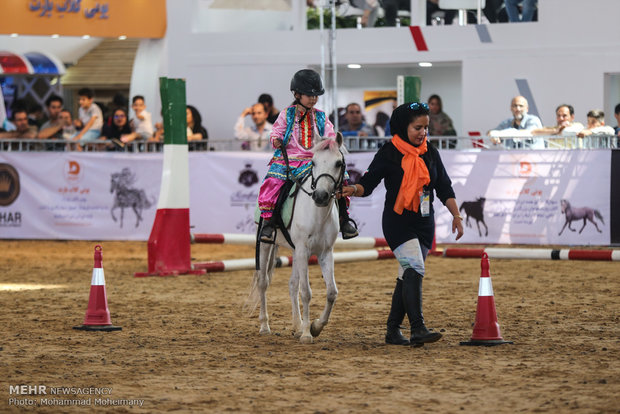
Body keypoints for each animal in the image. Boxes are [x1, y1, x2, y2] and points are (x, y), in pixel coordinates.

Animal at [246, 134, 344, 344]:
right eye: (313, 162)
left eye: (339, 163)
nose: (320, 196)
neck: (317, 214)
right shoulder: (302, 249)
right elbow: (306, 292)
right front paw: (307, 334)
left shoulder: (325, 253)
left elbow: (332, 292)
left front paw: (315, 327)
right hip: (267, 244)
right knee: (263, 282)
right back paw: (265, 326)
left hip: (295, 252)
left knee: (292, 284)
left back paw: (297, 326)